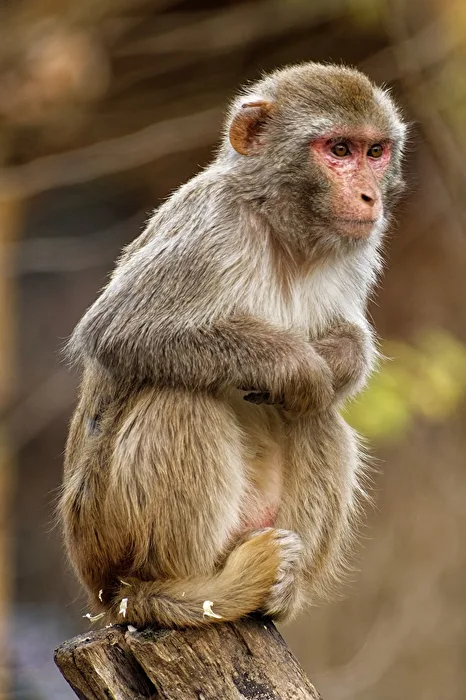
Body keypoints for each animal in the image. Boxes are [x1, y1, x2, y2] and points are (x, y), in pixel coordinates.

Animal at [60, 62, 407, 629]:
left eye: (374, 152)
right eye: (339, 149)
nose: (368, 198)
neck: (281, 230)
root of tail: (104, 593)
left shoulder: (357, 248)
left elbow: (348, 342)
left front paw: (336, 361)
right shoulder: (211, 229)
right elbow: (120, 329)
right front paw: (297, 367)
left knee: (318, 417)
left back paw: (280, 589)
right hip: (107, 537)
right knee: (179, 399)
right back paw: (178, 590)